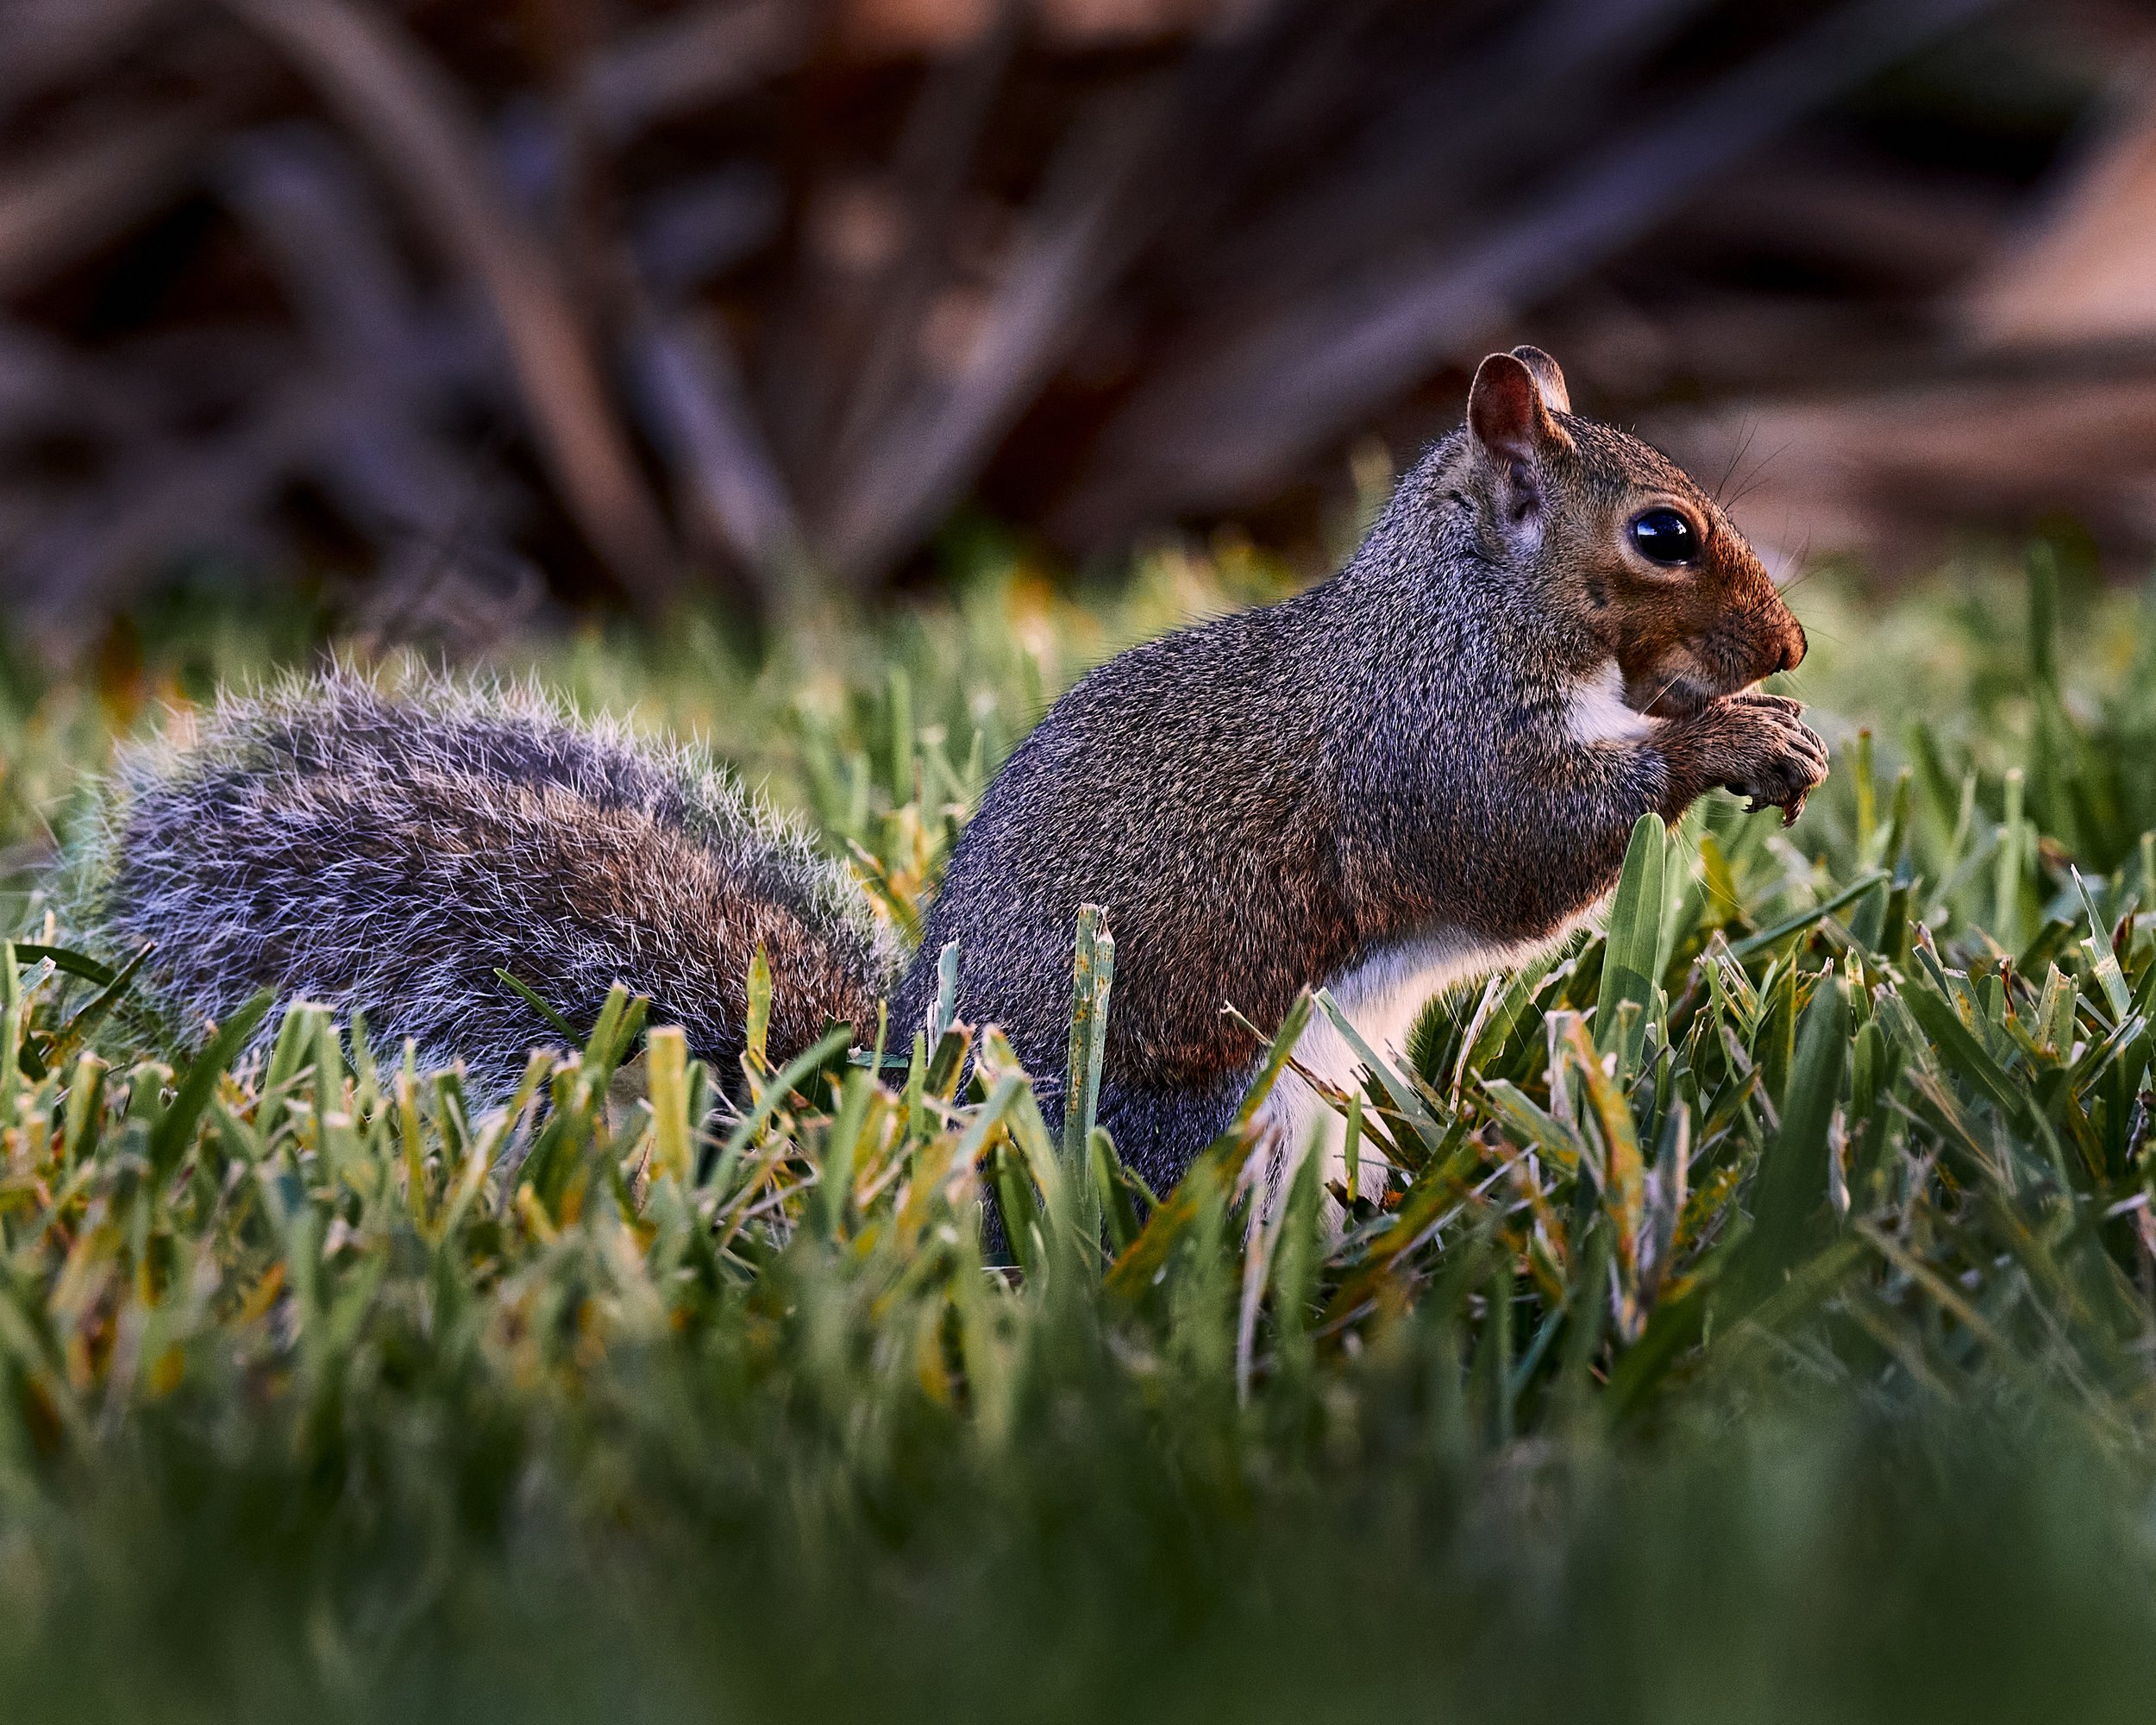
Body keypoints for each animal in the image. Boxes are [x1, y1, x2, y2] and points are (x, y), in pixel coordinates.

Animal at [76, 349, 1820, 1199]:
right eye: (1662, 534)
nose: (1792, 644)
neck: (1463, 607)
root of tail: (897, 1104)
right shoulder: (1421, 747)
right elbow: (1515, 850)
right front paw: (1724, 742)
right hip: (1193, 1109)